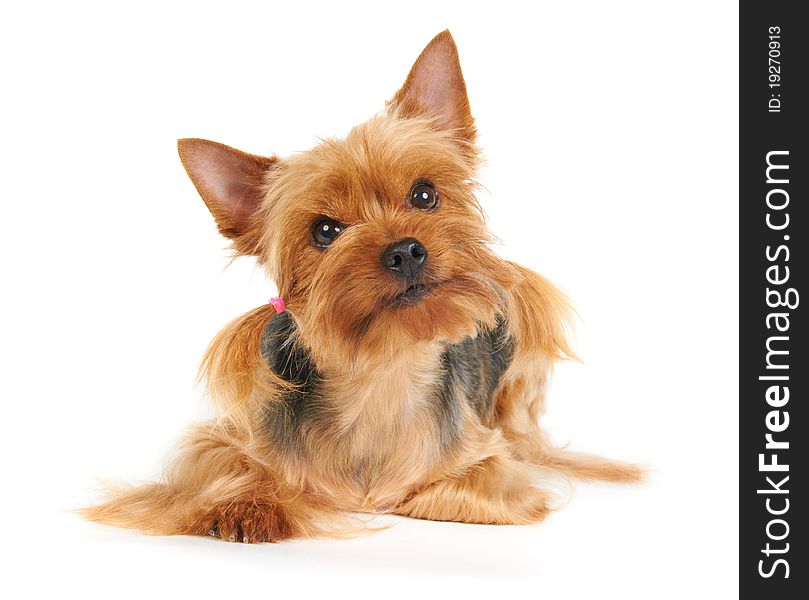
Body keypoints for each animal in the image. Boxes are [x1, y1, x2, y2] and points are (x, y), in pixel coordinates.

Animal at [85, 29, 640, 544]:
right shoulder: (231, 436)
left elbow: (451, 488)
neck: (382, 373)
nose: (405, 251)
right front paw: (247, 505)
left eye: (424, 194)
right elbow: (224, 469)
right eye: (325, 231)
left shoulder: (489, 464)